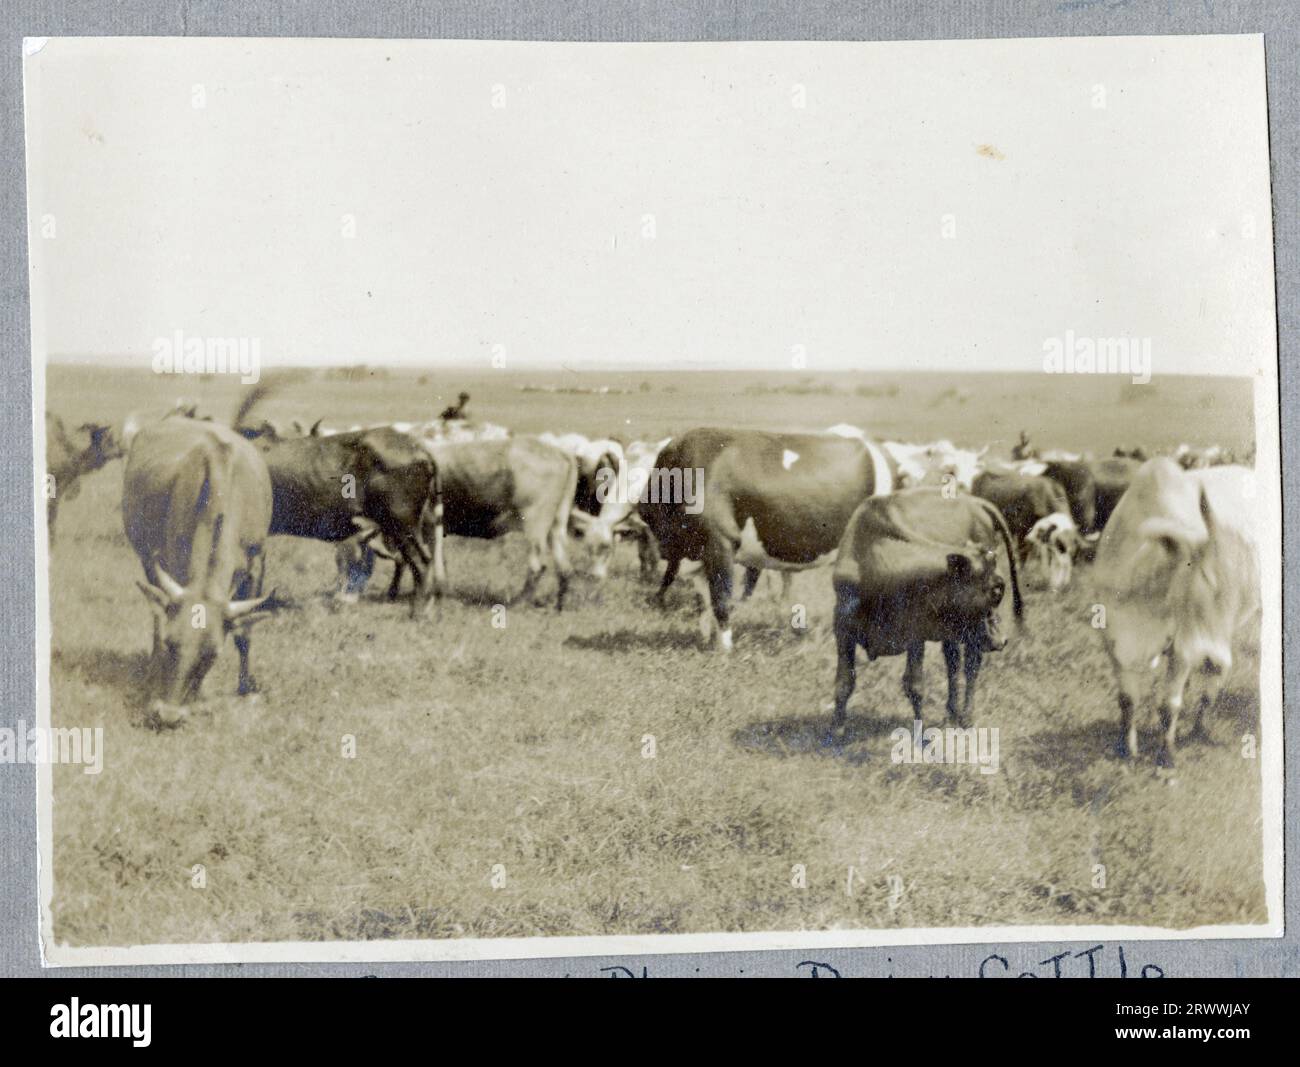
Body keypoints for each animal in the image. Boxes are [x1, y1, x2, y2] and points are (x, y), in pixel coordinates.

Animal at [358, 436, 577, 610]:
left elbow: (412, 560)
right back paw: (558, 606)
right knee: (564, 567)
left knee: (537, 566)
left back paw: (518, 603)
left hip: (535, 523)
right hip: (556, 525)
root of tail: (560, 453)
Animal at [637, 426, 894, 649]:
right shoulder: (697, 555)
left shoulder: (720, 542)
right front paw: (708, 642)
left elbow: (721, 599)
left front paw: (724, 650)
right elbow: (703, 601)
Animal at [832, 488, 1024, 732]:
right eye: (997, 590)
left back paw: (966, 716)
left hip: (974, 634)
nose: (1003, 639)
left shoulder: (916, 632)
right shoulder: (842, 627)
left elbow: (914, 685)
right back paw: (951, 713)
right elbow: (844, 681)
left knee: (971, 664)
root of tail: (974, 501)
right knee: (953, 661)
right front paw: (837, 729)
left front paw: (920, 732)